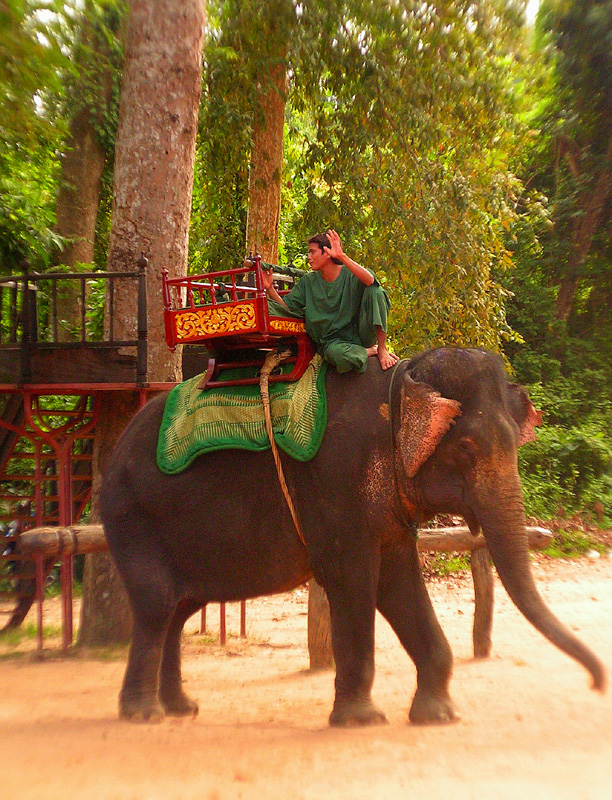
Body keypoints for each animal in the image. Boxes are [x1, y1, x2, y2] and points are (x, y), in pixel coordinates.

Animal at [100, 346, 608, 724]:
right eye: (466, 448)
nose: (596, 683)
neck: (401, 380)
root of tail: (113, 452)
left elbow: (399, 581)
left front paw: (437, 715)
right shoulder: (336, 477)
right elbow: (352, 577)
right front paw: (362, 719)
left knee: (179, 609)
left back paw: (182, 709)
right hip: (133, 517)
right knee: (157, 605)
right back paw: (142, 715)